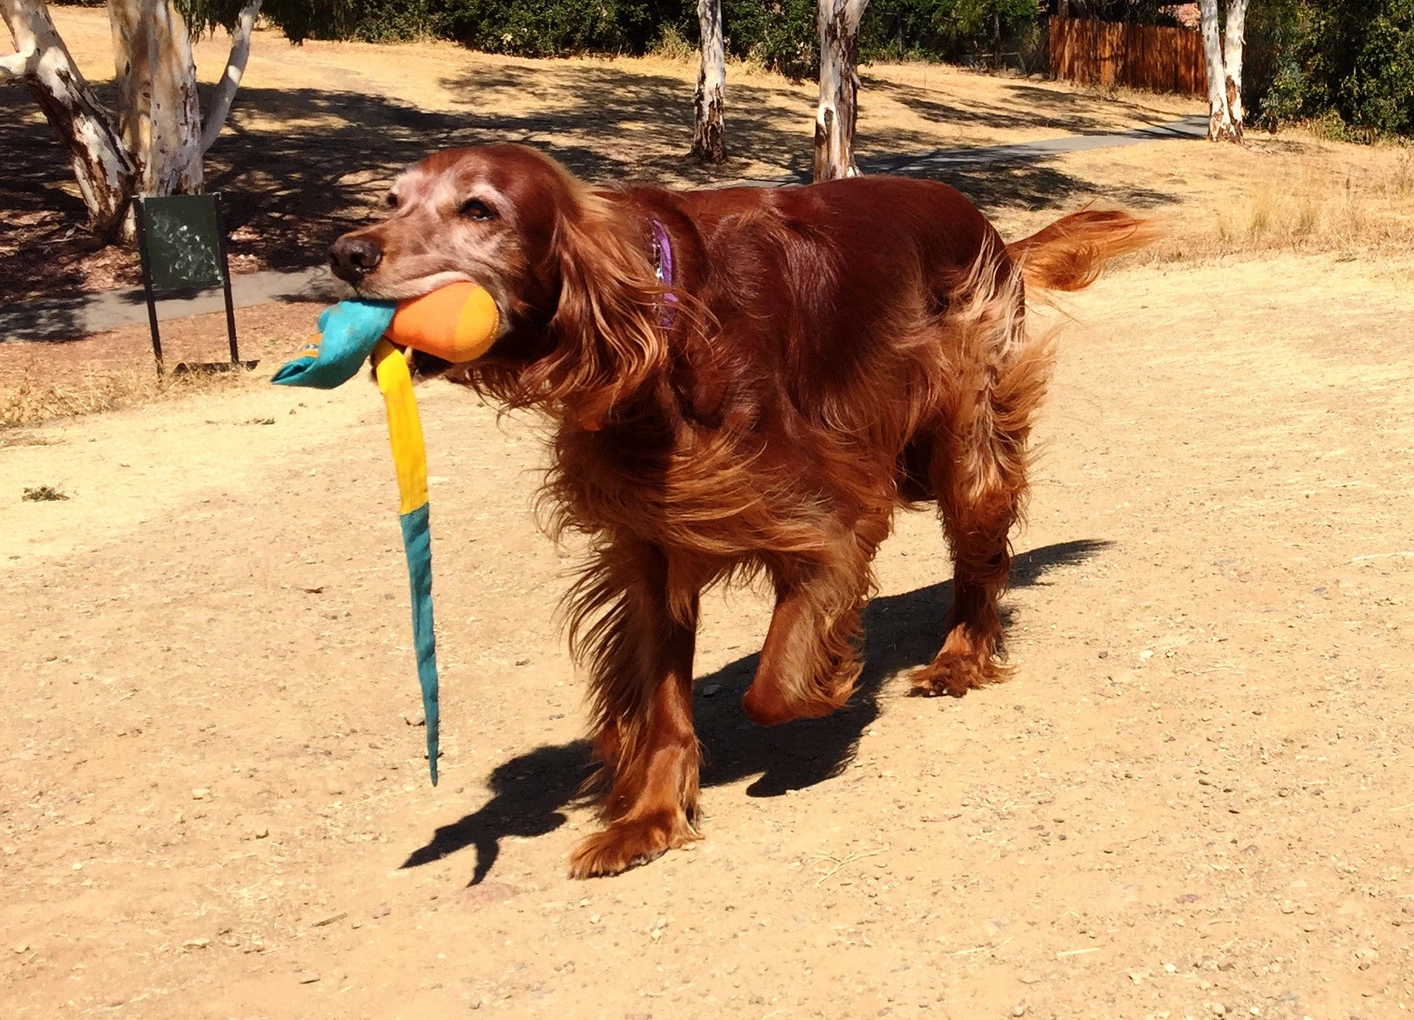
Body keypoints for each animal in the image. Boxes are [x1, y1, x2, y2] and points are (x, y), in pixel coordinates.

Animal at [330, 142, 1148, 877]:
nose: (347, 254)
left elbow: (771, 688)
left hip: (966, 426)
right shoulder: (653, 542)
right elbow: (663, 705)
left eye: (479, 210)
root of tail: (986, 225)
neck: (664, 324)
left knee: (983, 551)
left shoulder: (833, 511)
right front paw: (650, 819)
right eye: (392, 200)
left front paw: (828, 692)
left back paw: (959, 659)